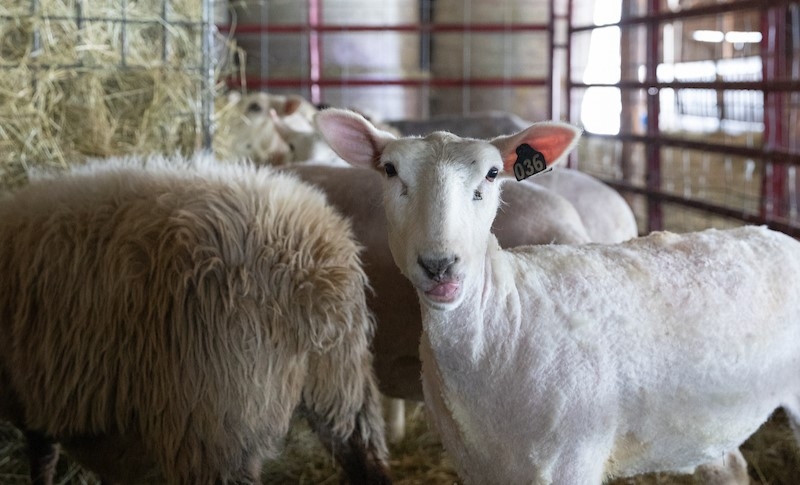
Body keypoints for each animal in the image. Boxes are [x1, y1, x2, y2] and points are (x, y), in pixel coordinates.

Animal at [0, 154, 392, 484]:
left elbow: (43, 458)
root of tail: (310, 264)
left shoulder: (29, 395)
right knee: (370, 464)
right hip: (346, 391)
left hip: (217, 421)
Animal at [318, 108, 800, 484]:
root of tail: (779, 237)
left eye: (493, 173)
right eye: (389, 170)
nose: (440, 264)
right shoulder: (478, 467)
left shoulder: (573, 462)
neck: (505, 323)